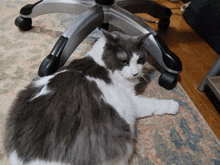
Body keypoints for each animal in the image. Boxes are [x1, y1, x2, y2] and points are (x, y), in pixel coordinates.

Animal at [4, 30, 180, 165]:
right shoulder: (131, 101)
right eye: (124, 61)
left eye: (140, 60)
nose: (136, 73)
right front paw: (174, 105)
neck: (100, 62)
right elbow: (153, 103)